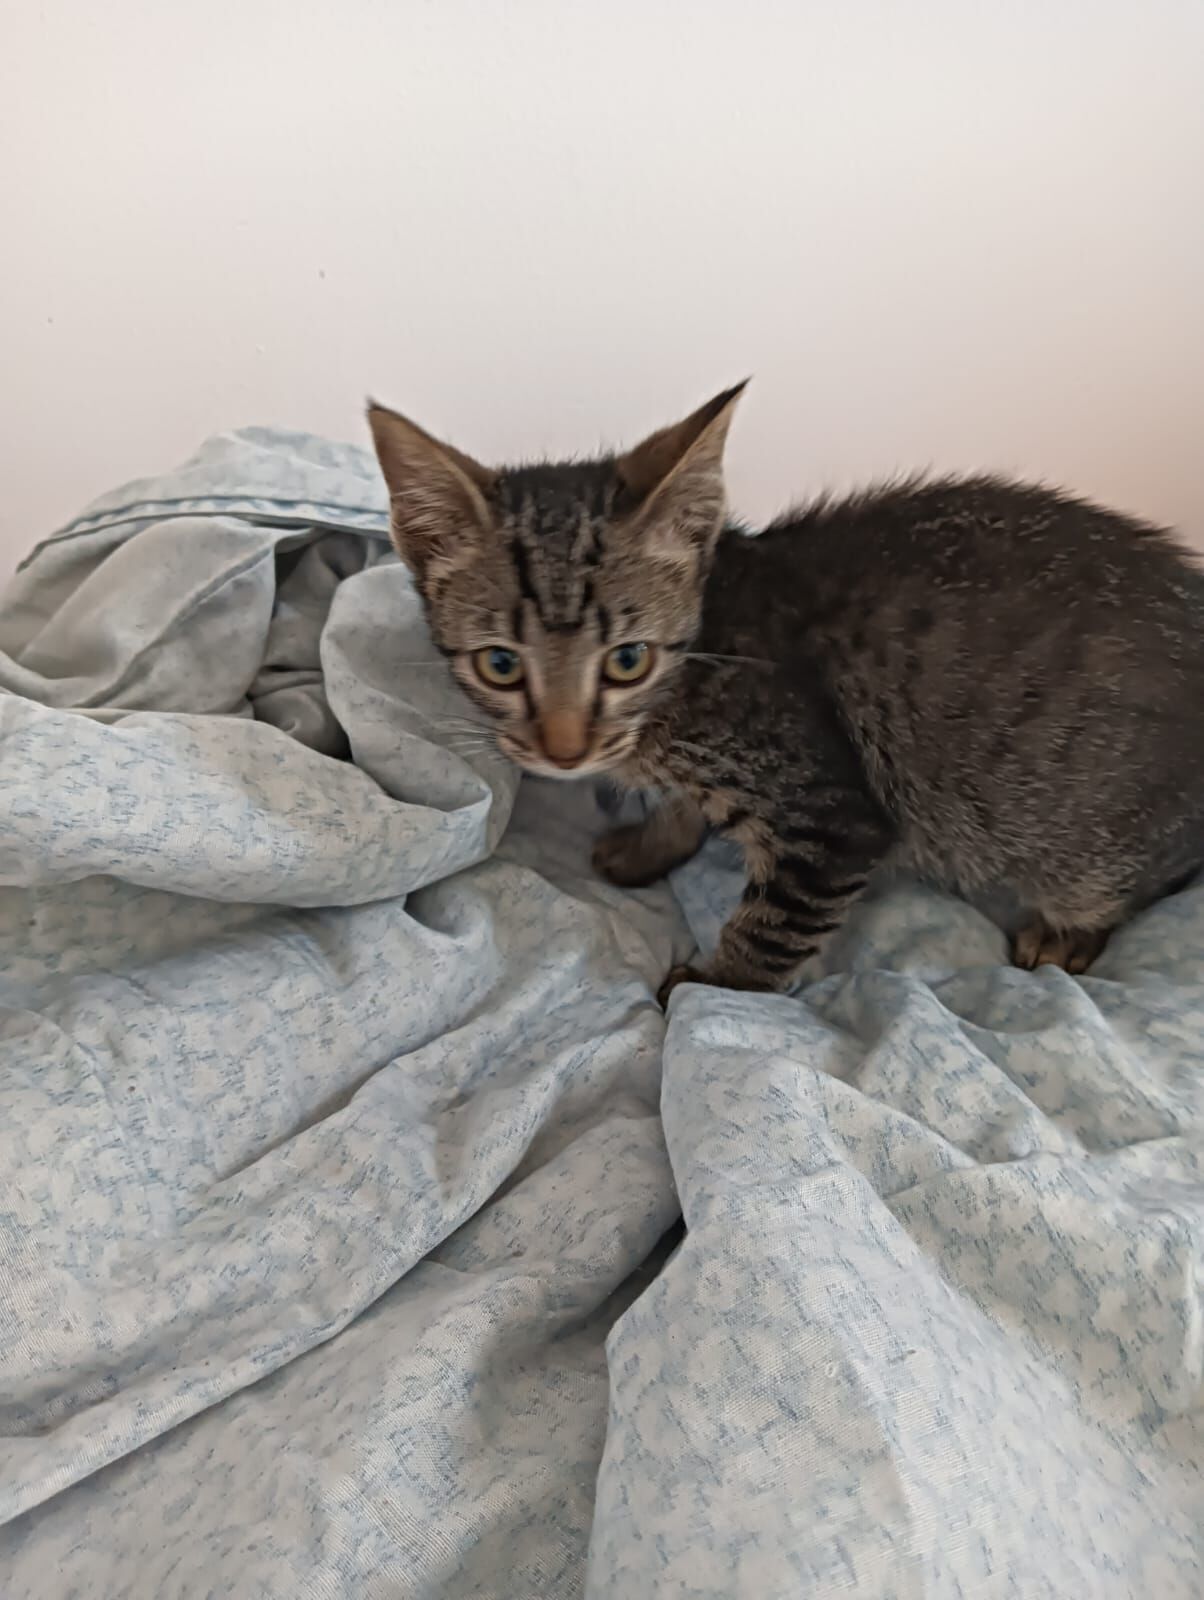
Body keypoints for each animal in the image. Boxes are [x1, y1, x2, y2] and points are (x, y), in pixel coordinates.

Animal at [367, 386, 1204, 1004]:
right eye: (501, 664)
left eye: (627, 659)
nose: (565, 751)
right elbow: (683, 812)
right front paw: (650, 846)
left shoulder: (834, 818)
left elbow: (771, 927)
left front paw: (711, 988)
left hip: (1090, 845)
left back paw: (1066, 933)